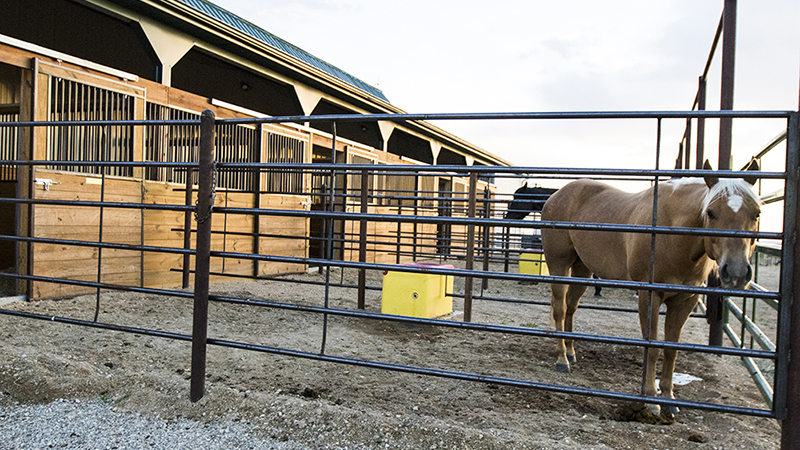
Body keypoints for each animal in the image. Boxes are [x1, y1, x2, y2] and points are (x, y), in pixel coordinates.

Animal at [540, 160, 761, 416]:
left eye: (756, 213)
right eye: (711, 213)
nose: (736, 272)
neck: (674, 235)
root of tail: (556, 195)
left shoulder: (684, 302)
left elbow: (671, 350)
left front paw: (669, 399)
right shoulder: (649, 296)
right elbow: (652, 347)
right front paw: (651, 400)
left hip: (582, 269)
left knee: (570, 308)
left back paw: (571, 351)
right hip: (559, 264)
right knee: (559, 308)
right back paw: (562, 359)